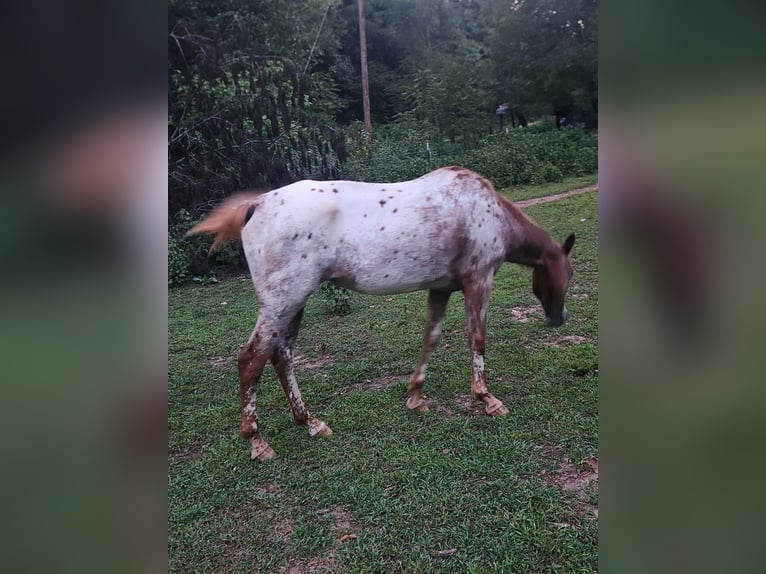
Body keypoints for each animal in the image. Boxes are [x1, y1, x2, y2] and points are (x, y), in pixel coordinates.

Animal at [190, 166, 576, 464]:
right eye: (568, 273)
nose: (559, 317)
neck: (486, 209)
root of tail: (258, 204)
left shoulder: (441, 289)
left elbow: (431, 337)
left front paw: (416, 395)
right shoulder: (478, 281)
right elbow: (477, 339)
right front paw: (487, 398)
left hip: (292, 305)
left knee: (281, 356)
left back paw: (311, 422)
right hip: (282, 303)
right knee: (251, 361)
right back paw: (258, 443)